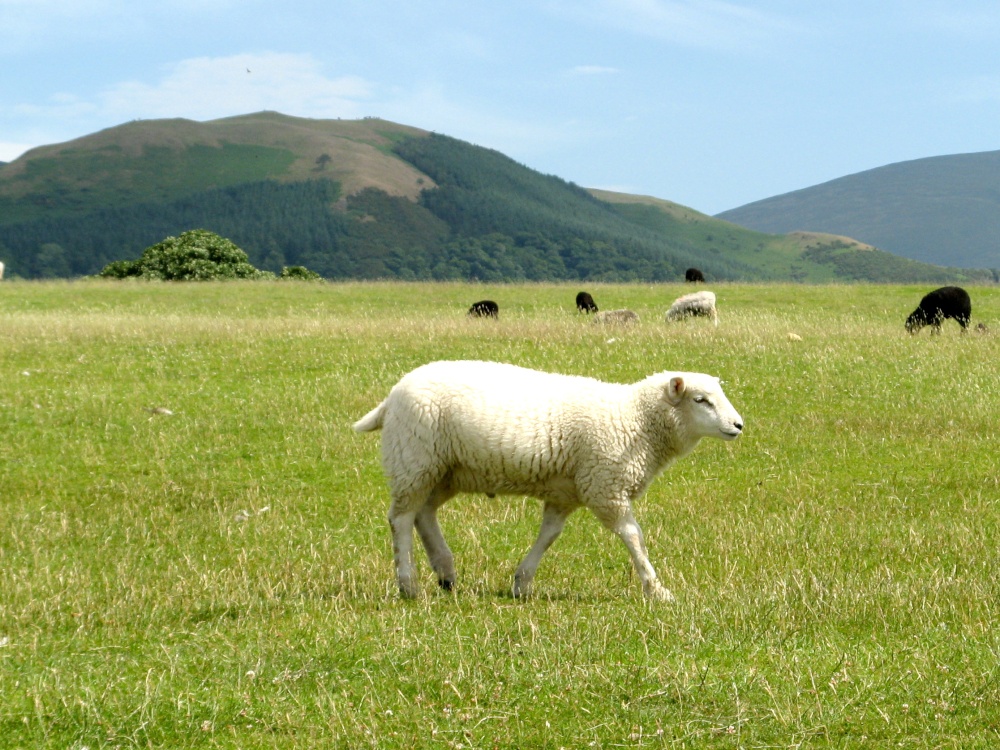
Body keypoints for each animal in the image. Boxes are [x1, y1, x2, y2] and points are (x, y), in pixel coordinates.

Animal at [352, 362, 744, 604]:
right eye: (701, 400)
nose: (738, 425)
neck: (635, 419)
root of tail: (393, 394)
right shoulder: (606, 486)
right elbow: (634, 537)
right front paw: (656, 589)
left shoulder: (567, 491)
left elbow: (549, 535)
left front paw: (521, 582)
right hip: (414, 459)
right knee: (401, 519)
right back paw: (408, 583)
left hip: (444, 469)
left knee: (424, 514)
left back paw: (445, 572)